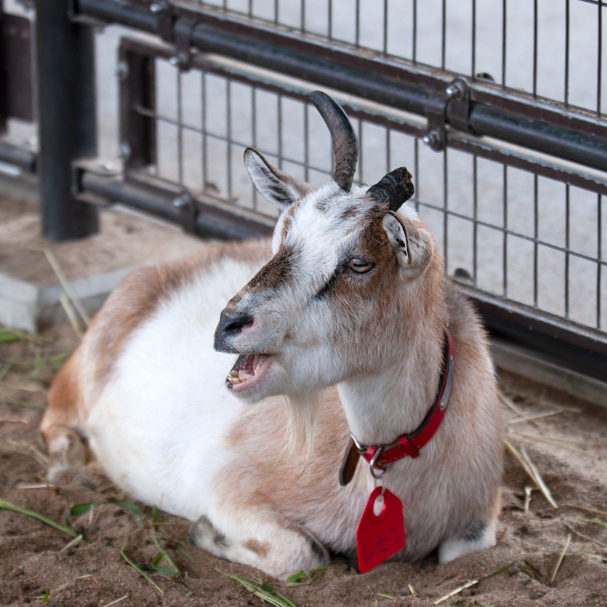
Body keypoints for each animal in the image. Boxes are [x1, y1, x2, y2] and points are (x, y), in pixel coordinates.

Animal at [42, 90, 506, 580]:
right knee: (56, 411)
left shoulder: (478, 524)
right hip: (85, 367)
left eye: (360, 262)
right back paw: (70, 470)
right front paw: (207, 534)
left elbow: (468, 554)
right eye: (283, 236)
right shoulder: (224, 481)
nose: (229, 324)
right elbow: (305, 553)